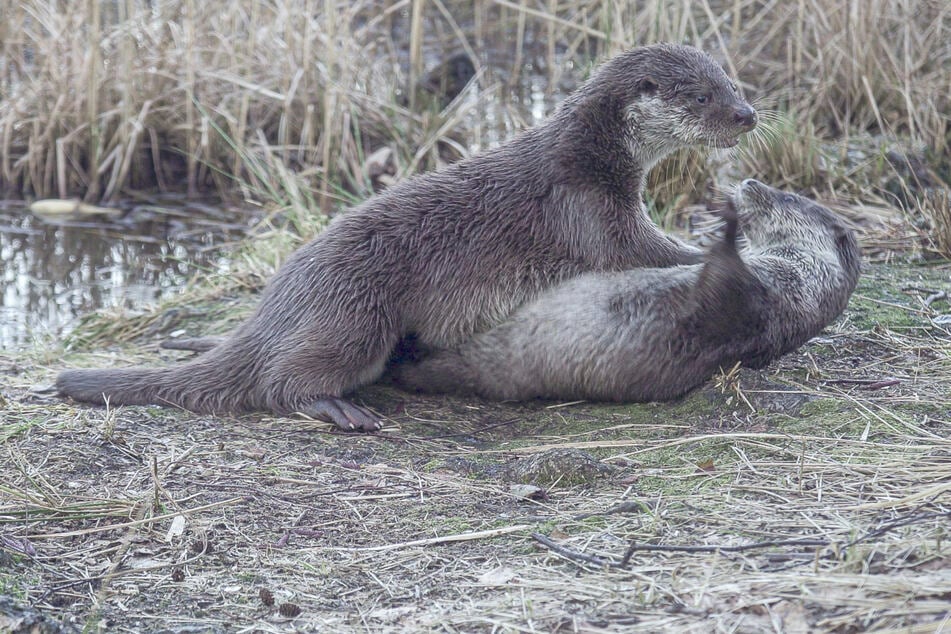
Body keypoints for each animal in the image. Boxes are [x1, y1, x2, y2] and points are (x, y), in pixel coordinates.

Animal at [57, 44, 760, 430]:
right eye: (702, 96)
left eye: (732, 81)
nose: (748, 114)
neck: (590, 157)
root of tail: (284, 296)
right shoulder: (588, 208)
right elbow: (647, 252)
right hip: (355, 313)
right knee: (278, 382)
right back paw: (336, 409)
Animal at [390, 179, 868, 400]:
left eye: (788, 198)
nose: (751, 183)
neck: (794, 282)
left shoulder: (752, 302)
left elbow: (720, 289)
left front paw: (727, 226)